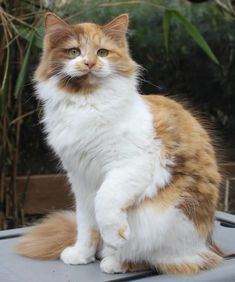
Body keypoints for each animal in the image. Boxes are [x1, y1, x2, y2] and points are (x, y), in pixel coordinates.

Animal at [15, 13, 223, 276]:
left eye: (102, 52)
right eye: (74, 52)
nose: (90, 63)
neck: (86, 103)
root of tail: (210, 245)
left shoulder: (130, 165)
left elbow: (105, 200)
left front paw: (115, 236)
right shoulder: (80, 180)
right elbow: (87, 224)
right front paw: (81, 255)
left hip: (162, 219)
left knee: (160, 258)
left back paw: (114, 260)